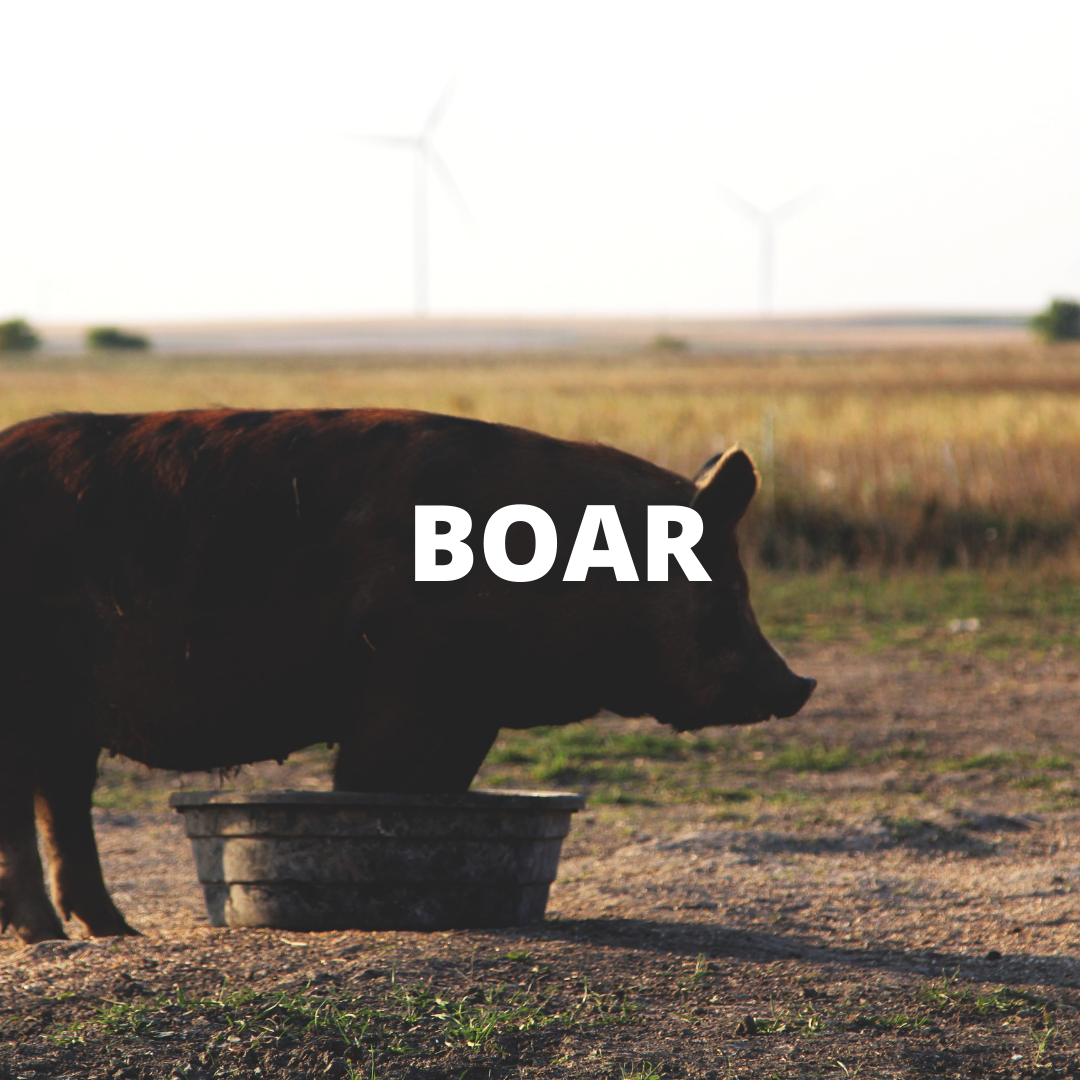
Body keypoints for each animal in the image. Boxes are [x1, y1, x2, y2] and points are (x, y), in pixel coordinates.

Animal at [0, 408, 814, 943]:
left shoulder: (471, 713)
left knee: (61, 798)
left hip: (71, 710)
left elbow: (440, 794)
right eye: (724, 591)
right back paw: (44, 937)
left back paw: (113, 933)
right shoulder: (405, 689)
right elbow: (372, 790)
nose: (797, 687)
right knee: (24, 804)